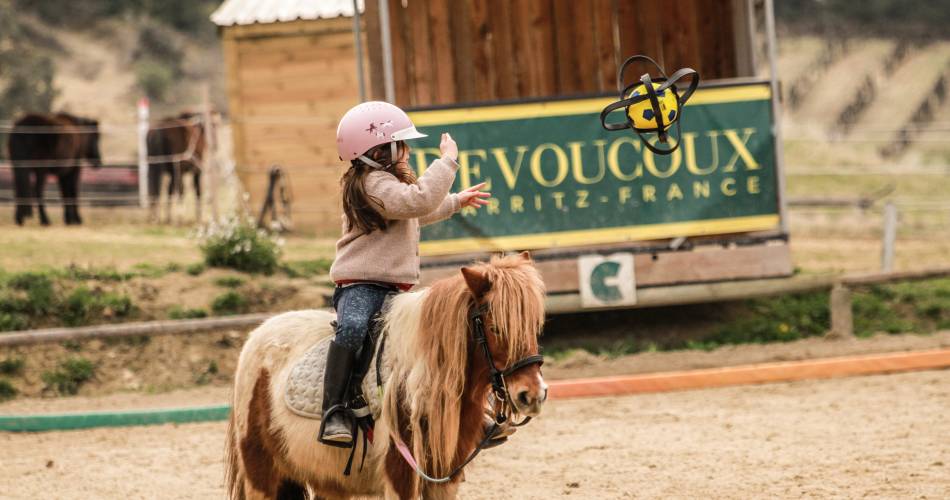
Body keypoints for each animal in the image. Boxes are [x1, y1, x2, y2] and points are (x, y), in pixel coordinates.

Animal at [226, 254, 548, 500]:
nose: (532, 394)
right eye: (496, 328)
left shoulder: (445, 477)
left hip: (328, 483)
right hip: (261, 477)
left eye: (535, 325)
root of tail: (255, 337)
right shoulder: (401, 474)